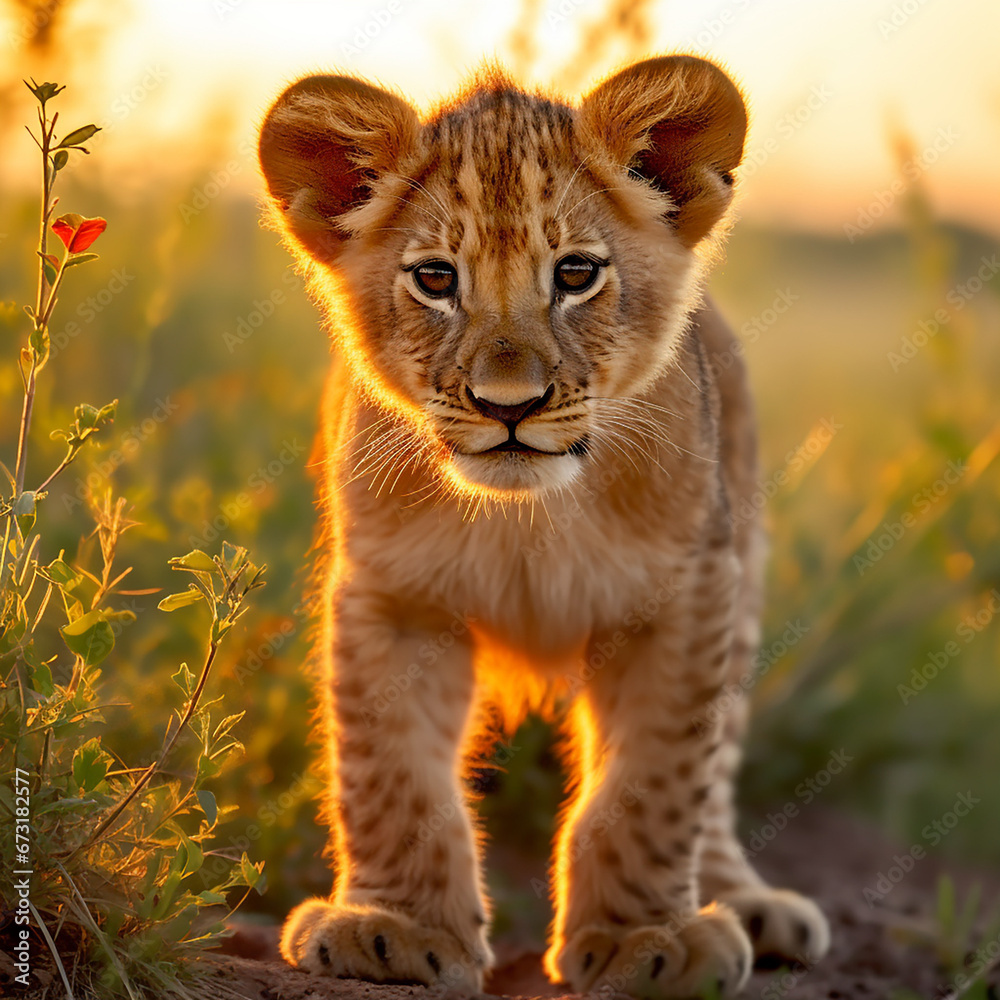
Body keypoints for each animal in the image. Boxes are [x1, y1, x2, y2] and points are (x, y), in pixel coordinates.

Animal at [257, 55, 830, 998]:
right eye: (436, 279)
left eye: (575, 274)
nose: (508, 406)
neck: (528, 515)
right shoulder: (394, 595)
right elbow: (394, 775)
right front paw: (395, 931)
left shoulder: (684, 595)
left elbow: (656, 782)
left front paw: (646, 941)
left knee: (716, 779)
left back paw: (749, 906)